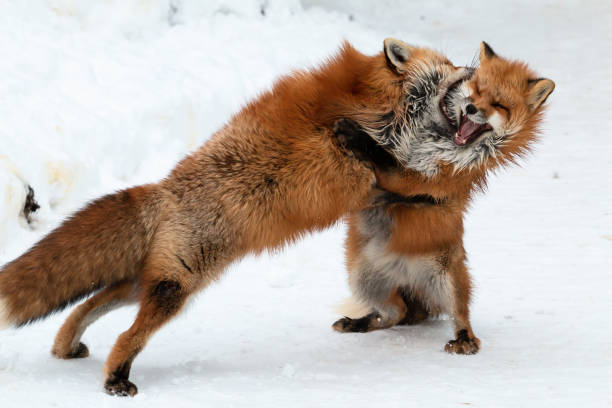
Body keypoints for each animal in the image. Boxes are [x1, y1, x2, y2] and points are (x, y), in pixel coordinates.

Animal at [0, 38, 474, 396]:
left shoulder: (372, 188)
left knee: (87, 305)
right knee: (123, 336)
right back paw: (115, 377)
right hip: (175, 287)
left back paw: (67, 346)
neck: (380, 110)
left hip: (147, 284)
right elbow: (391, 171)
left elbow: (409, 187)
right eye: (448, 67)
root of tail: (163, 191)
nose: (472, 69)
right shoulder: (363, 177)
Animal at [332, 42, 556, 354]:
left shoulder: (424, 179)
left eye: (499, 104)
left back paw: (464, 340)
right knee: (394, 313)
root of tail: (405, 272)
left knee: (455, 314)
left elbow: (384, 157)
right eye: (475, 91)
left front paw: (356, 133)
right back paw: (358, 323)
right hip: (362, 278)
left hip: (449, 281)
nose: (471, 107)